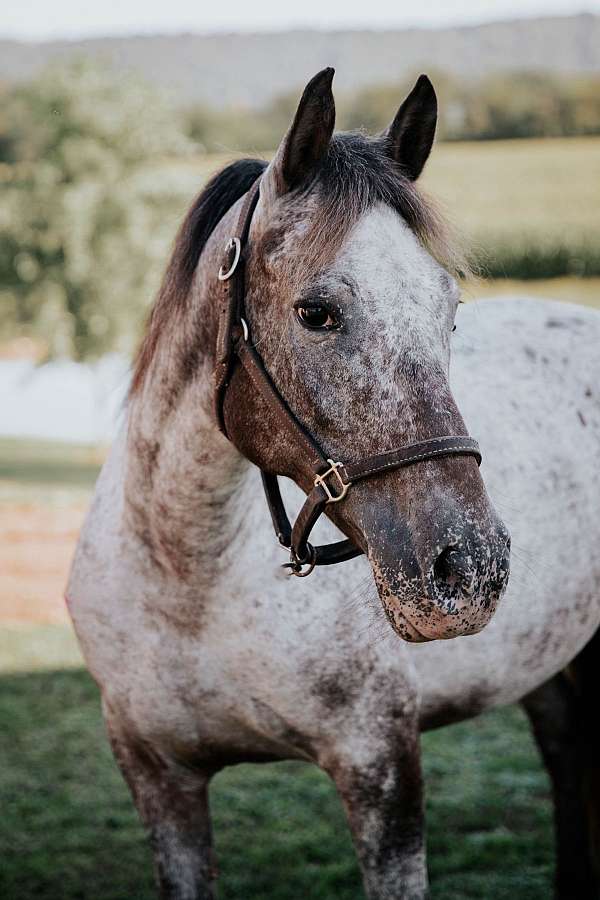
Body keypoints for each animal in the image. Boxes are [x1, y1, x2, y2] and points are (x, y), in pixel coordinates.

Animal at [67, 69, 600, 899]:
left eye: (449, 313)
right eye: (316, 312)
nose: (468, 568)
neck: (186, 579)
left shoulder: (381, 772)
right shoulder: (159, 780)